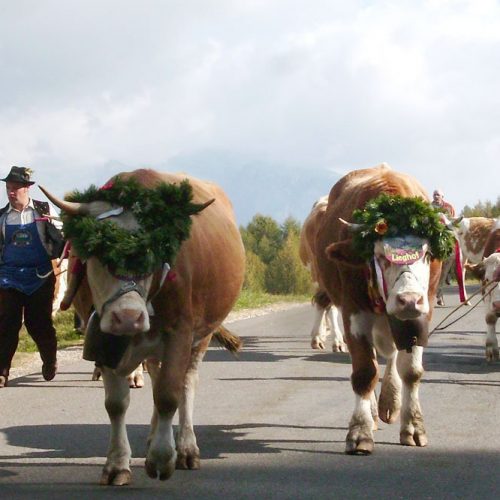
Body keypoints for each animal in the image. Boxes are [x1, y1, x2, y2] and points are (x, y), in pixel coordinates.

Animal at [40, 170, 245, 486]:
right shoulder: (104, 339)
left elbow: (169, 395)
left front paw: (162, 458)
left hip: (202, 335)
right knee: (158, 378)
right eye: (101, 254)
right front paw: (117, 464)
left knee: (185, 383)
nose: (128, 317)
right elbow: (116, 404)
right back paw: (154, 438)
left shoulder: (179, 332)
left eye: (153, 254)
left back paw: (185, 448)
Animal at [312, 163, 450, 454]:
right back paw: (375, 413)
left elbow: (411, 371)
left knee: (393, 357)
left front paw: (413, 426)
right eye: (378, 256)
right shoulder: (354, 312)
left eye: (427, 254)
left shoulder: (422, 314)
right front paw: (360, 431)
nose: (408, 299)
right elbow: (365, 372)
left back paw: (390, 403)